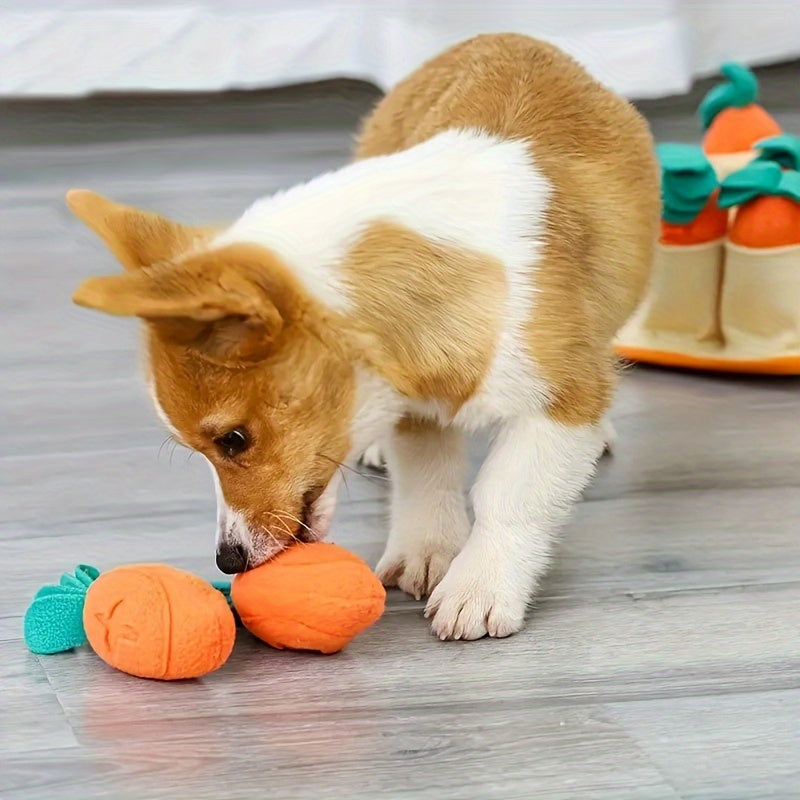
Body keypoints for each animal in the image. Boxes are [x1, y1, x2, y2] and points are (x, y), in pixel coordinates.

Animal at [69, 34, 656, 640]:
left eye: (233, 440)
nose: (227, 561)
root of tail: (506, 37)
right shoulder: (413, 403)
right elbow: (426, 478)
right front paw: (426, 553)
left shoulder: (561, 404)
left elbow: (509, 496)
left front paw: (479, 588)